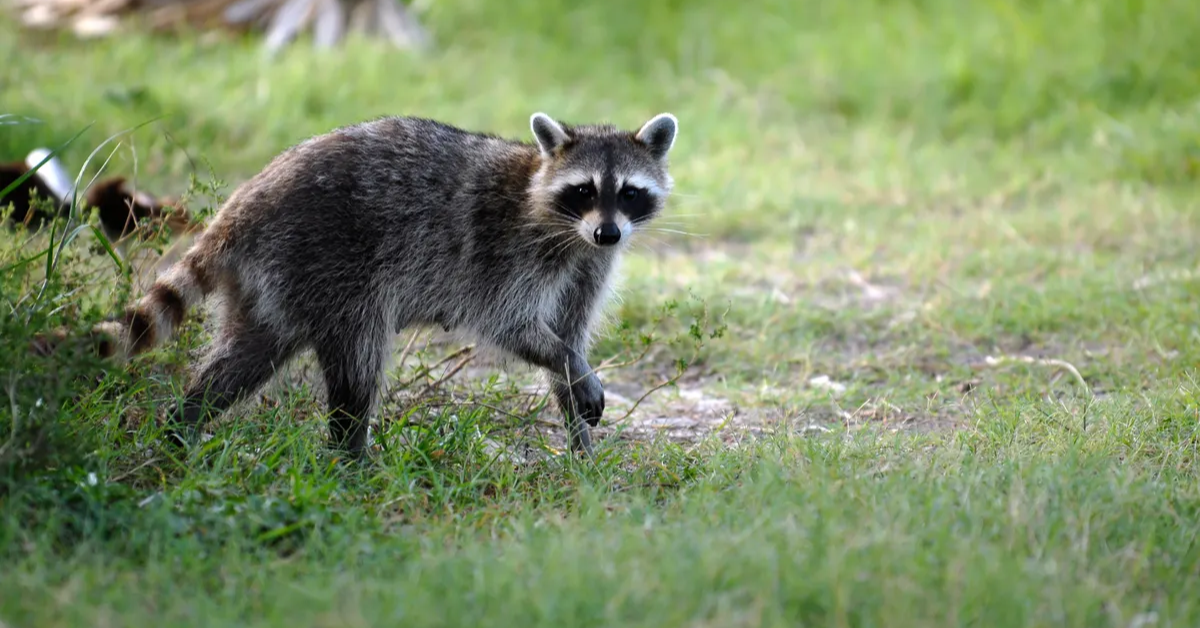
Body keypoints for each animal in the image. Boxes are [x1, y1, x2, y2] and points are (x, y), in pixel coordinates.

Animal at [88, 111, 681, 456]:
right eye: (584, 190)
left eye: (629, 192)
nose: (608, 232)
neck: (566, 226)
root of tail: (246, 201)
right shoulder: (504, 251)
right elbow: (511, 324)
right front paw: (571, 370)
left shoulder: (587, 267)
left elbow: (568, 333)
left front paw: (580, 437)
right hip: (330, 260)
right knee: (358, 360)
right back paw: (351, 453)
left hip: (272, 282)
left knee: (244, 357)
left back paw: (182, 424)